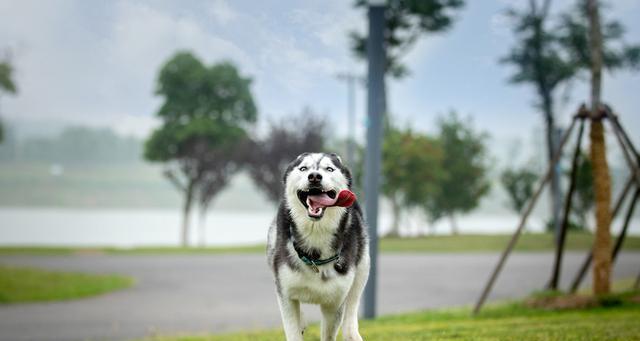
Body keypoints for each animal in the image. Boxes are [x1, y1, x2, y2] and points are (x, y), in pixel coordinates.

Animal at [266, 152, 370, 340]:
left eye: (329, 169)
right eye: (303, 168)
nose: (314, 176)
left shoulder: (335, 302)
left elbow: (330, 331)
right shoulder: (285, 291)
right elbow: (292, 328)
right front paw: (298, 325)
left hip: (363, 265)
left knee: (353, 300)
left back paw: (351, 332)